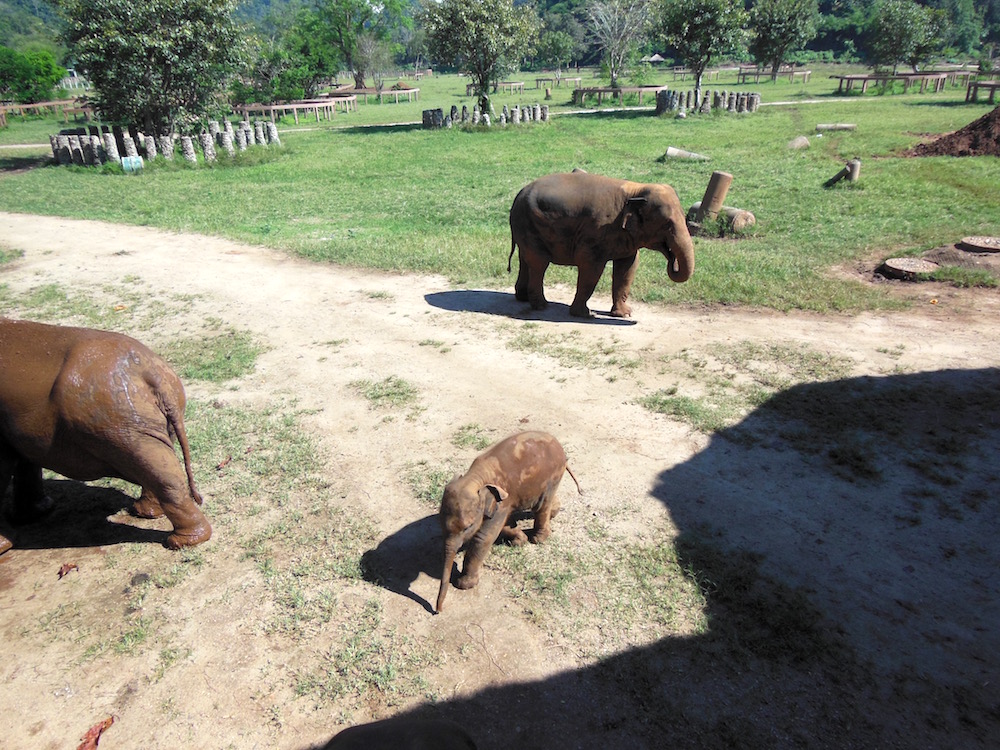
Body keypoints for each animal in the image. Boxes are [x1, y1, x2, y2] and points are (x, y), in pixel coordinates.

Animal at [0, 318, 211, 560]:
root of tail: (150, 373)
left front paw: (5, 544)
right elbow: (23, 460)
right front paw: (34, 515)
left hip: (119, 424)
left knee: (159, 471)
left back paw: (179, 542)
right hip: (144, 420)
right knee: (159, 462)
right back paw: (146, 514)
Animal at [436, 432, 584, 612]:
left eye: (468, 527)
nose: (438, 611)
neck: (476, 477)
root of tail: (559, 445)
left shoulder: (502, 502)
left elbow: (483, 538)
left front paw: (463, 584)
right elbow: (503, 525)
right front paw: (518, 541)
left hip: (552, 476)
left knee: (542, 506)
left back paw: (538, 539)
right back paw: (553, 513)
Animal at [508, 172, 696, 318]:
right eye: (667, 224)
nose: (672, 260)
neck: (636, 190)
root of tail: (519, 194)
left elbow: (627, 268)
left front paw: (625, 314)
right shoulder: (595, 232)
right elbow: (591, 268)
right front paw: (586, 315)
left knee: (526, 259)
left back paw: (523, 298)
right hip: (528, 223)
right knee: (539, 263)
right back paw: (541, 305)